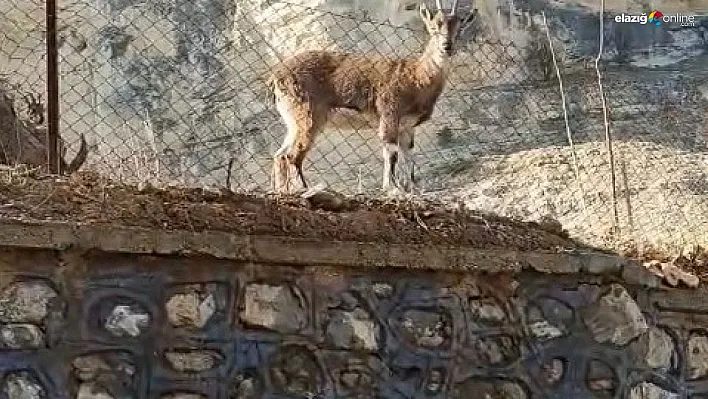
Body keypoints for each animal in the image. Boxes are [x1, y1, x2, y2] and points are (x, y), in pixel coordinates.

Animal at [266, 0, 476, 194]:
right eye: (433, 28)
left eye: (459, 28)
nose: (446, 46)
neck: (417, 77)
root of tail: (276, 76)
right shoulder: (389, 114)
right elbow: (391, 153)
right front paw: (392, 188)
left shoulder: (407, 126)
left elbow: (409, 155)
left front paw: (412, 187)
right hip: (308, 114)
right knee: (293, 155)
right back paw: (304, 188)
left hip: (293, 119)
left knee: (280, 154)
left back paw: (281, 190)